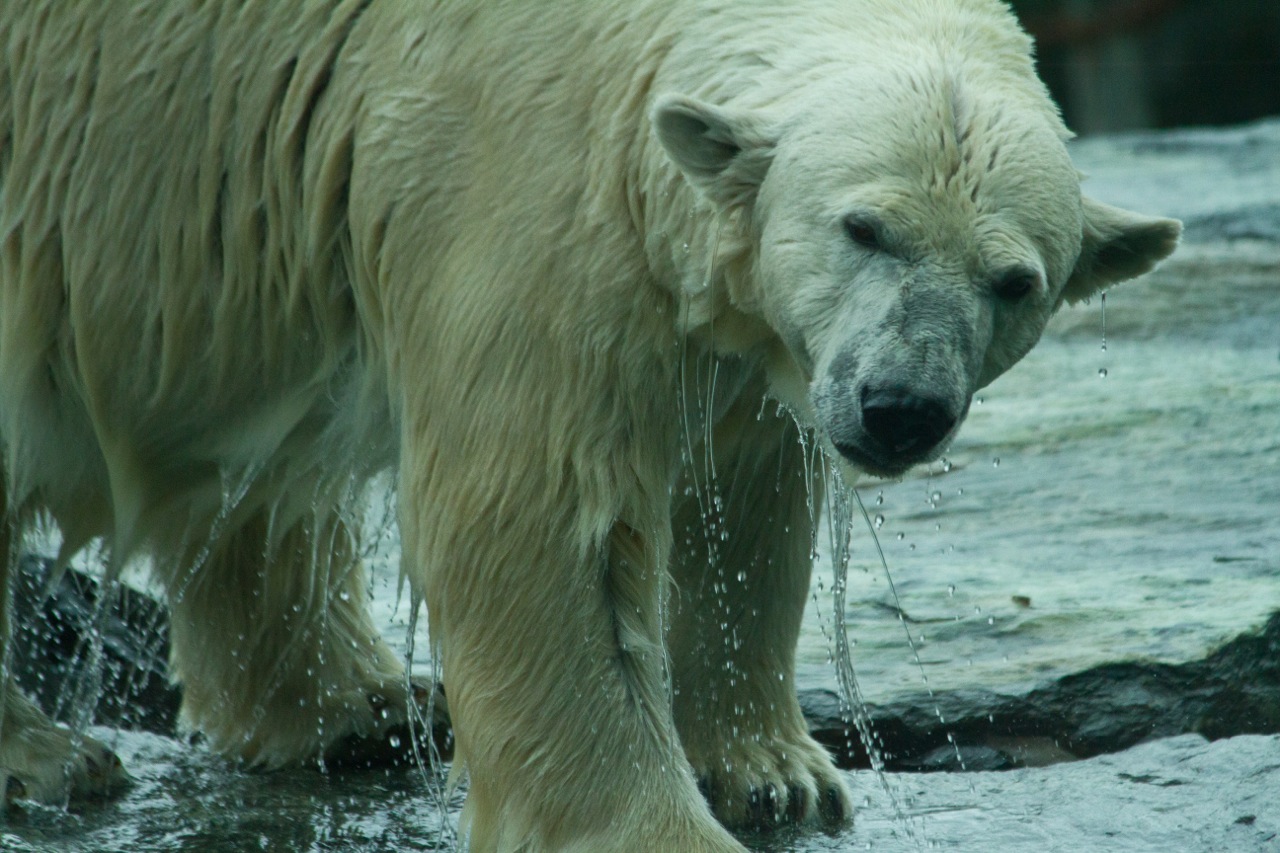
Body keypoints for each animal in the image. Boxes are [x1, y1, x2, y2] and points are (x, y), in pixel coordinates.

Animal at [2, 1, 1177, 850]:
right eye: (863, 226)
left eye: (1015, 281)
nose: (900, 409)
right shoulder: (524, 185)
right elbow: (539, 518)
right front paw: (661, 830)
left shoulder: (742, 335)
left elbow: (742, 499)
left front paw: (778, 774)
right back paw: (53, 753)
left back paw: (359, 704)